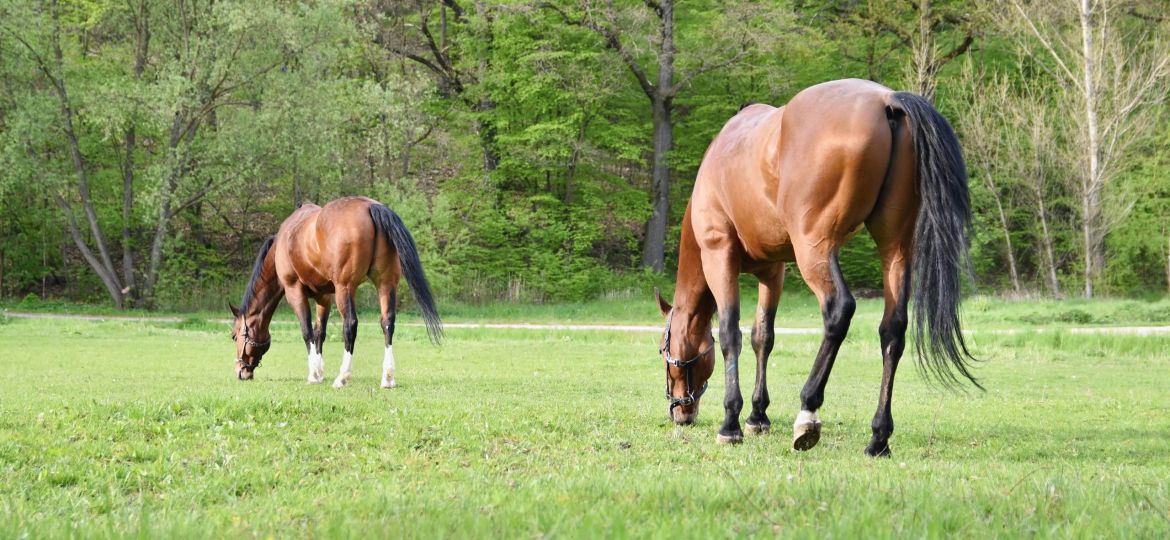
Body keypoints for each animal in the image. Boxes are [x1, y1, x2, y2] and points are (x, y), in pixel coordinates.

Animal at [230, 198, 439, 388]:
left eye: (234, 335)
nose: (241, 372)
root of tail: (371, 206)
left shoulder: (294, 291)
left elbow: (307, 331)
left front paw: (314, 374)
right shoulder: (324, 297)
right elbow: (319, 332)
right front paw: (320, 371)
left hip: (345, 288)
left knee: (350, 325)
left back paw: (343, 377)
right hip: (386, 284)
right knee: (387, 323)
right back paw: (387, 378)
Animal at [659, 78, 978, 455]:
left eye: (663, 351)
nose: (680, 412)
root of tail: (887, 101)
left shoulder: (719, 255)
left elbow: (729, 334)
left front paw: (732, 421)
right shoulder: (773, 271)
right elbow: (762, 337)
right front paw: (757, 416)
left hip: (815, 249)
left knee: (839, 310)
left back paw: (808, 411)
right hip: (895, 248)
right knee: (893, 329)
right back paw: (878, 437)